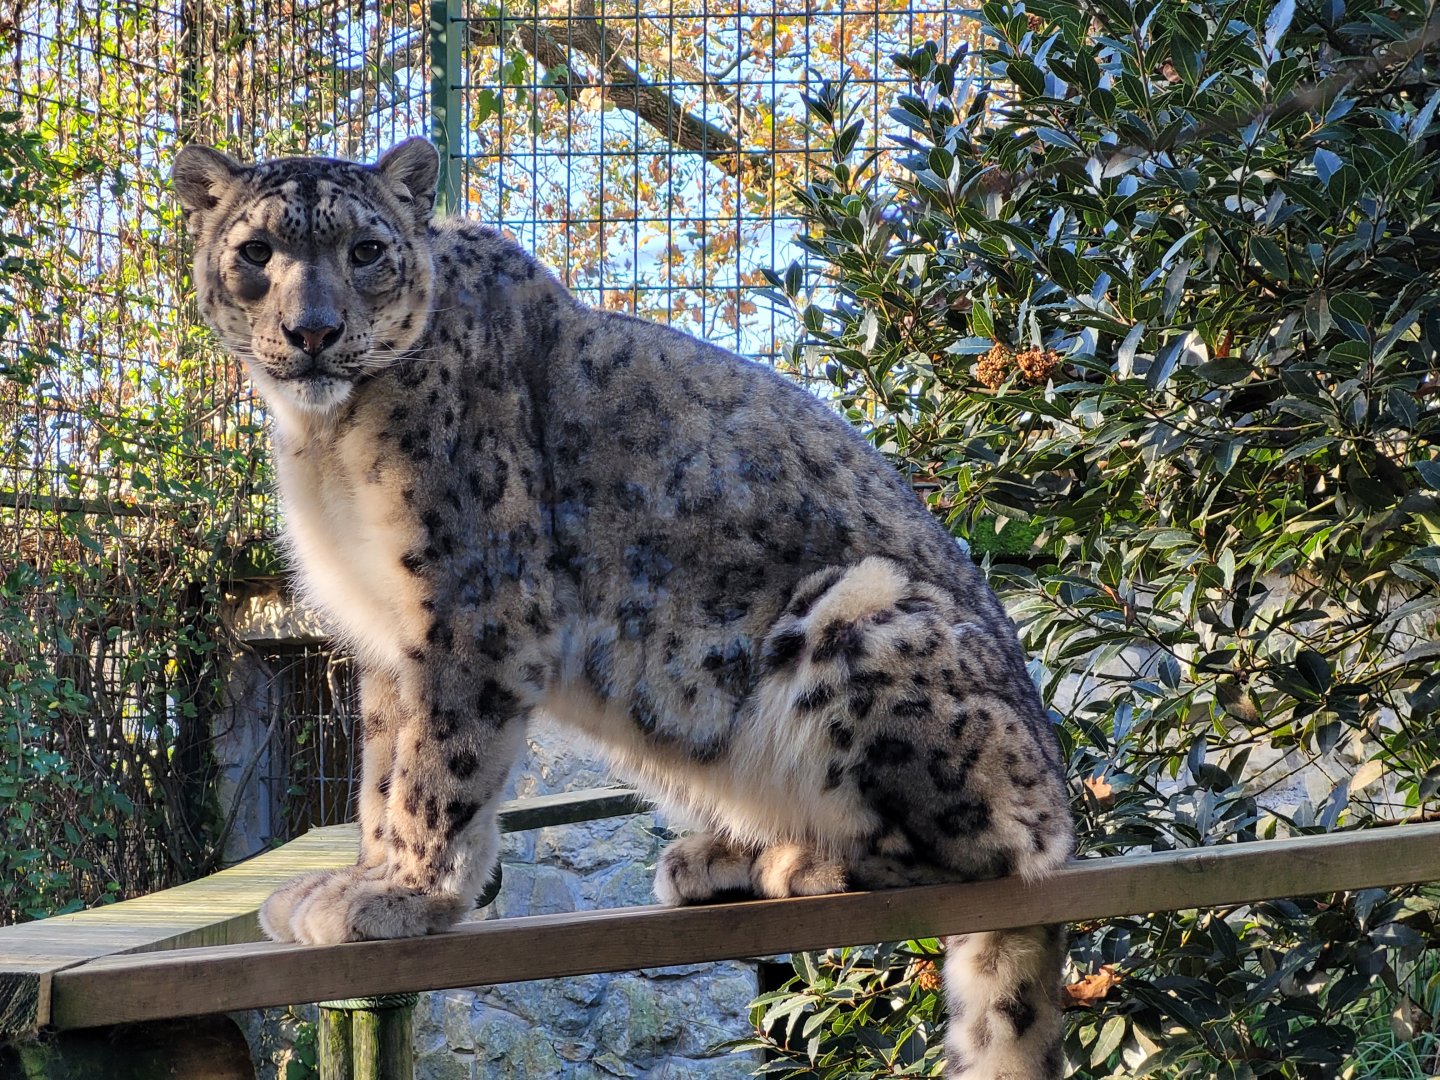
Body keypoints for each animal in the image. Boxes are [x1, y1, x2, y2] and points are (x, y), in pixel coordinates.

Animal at [171, 137, 1075, 1077]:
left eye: (366, 251)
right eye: (257, 252)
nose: (313, 331)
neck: (327, 441)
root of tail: (1057, 784)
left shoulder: (473, 605)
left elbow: (436, 767)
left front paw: (404, 896)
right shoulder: (389, 637)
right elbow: (382, 772)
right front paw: (362, 879)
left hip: (862, 619)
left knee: (995, 848)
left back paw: (799, 861)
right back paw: (723, 855)